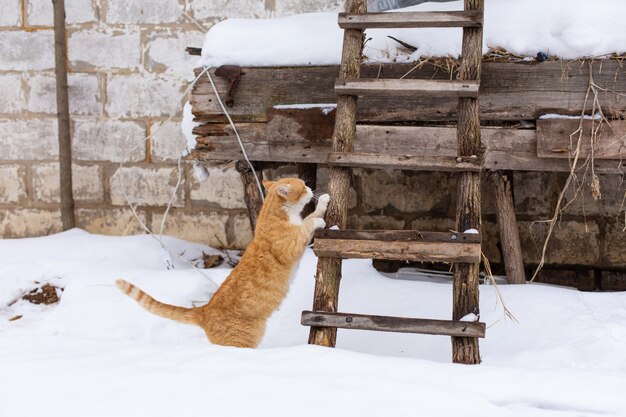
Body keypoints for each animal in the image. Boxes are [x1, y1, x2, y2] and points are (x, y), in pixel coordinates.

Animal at [115, 177, 330, 346]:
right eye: (303, 186)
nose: (311, 188)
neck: (276, 214)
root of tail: (204, 309)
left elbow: (311, 215)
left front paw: (323, 202)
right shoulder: (290, 245)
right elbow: (308, 223)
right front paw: (319, 217)